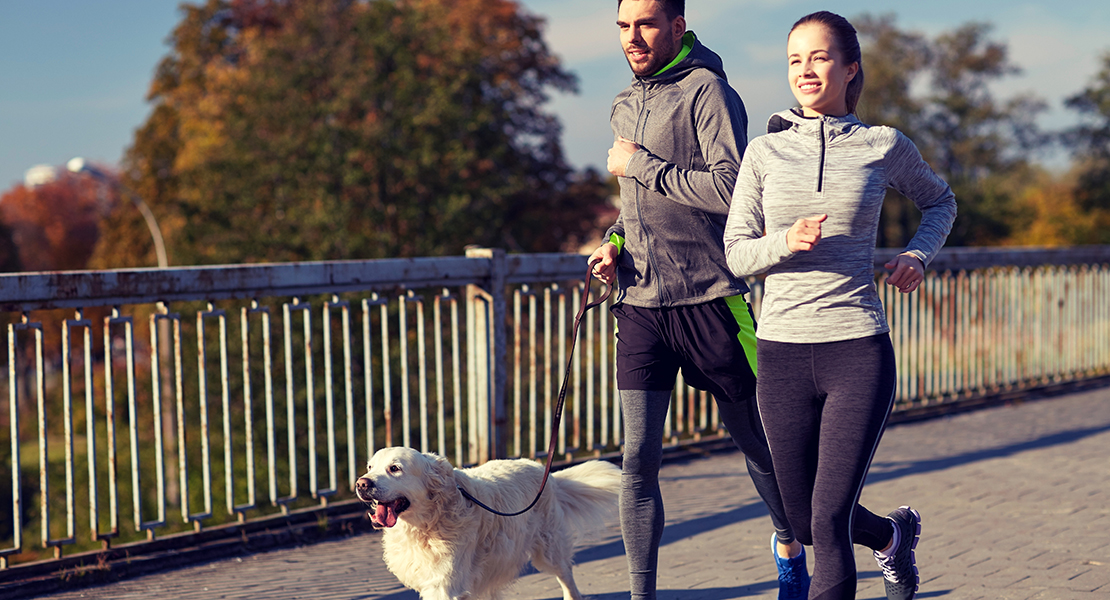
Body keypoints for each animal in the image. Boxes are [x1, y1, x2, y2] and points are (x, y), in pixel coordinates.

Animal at [355, 445, 621, 594]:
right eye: (370, 467)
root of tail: (545, 472)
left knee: (567, 578)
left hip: (549, 551)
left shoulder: (443, 585)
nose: (361, 484)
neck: (428, 522)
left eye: (395, 468)